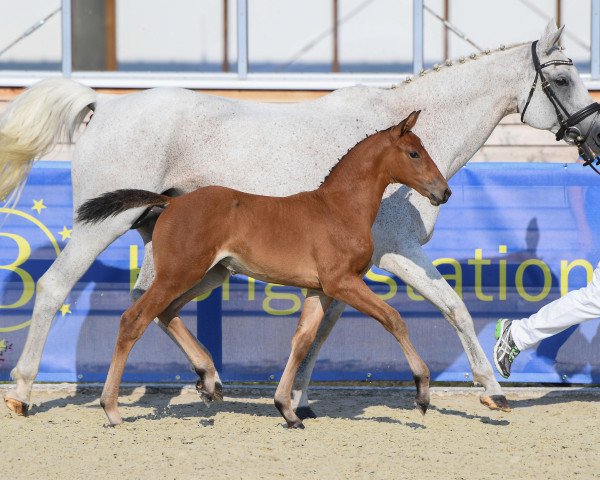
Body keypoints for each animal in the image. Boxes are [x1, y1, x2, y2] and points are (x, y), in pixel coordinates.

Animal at [77, 111, 450, 428]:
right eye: (414, 154)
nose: (443, 192)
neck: (339, 209)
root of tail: (171, 202)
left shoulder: (319, 289)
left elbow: (302, 340)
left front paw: (287, 410)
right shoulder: (341, 282)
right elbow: (393, 319)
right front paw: (422, 394)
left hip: (210, 274)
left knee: (166, 313)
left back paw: (210, 381)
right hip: (179, 274)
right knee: (134, 319)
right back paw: (112, 409)